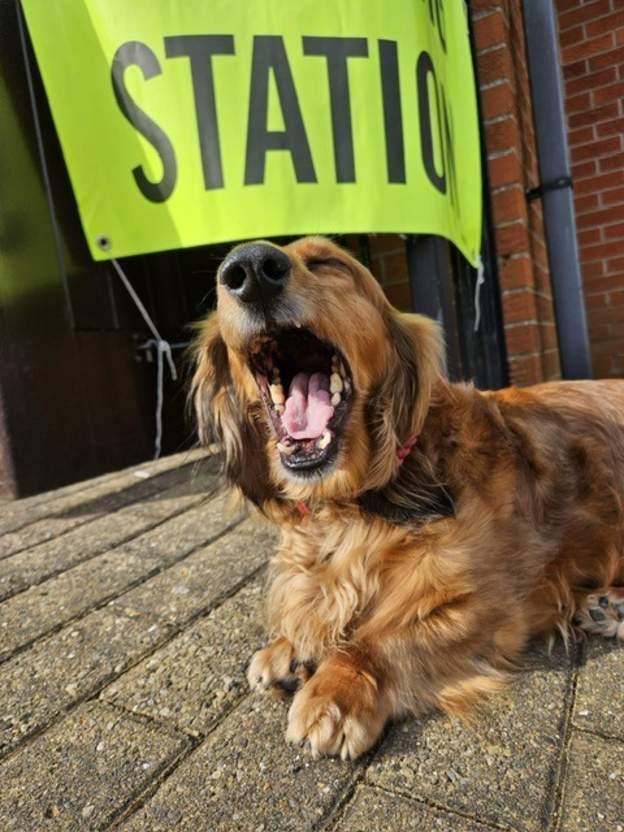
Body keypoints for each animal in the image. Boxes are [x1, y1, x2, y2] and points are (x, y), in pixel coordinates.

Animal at [190, 236, 624, 760]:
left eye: (328, 263)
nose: (251, 267)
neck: (351, 504)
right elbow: (319, 605)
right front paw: (289, 646)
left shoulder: (497, 598)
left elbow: (384, 635)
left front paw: (337, 689)